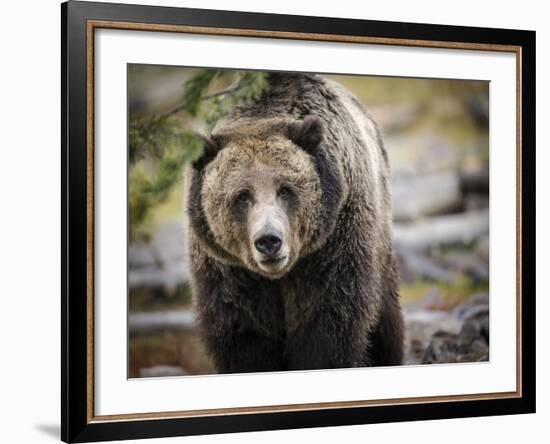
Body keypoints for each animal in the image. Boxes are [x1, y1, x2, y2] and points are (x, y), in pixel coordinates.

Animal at [185, 73, 406, 374]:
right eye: (241, 196)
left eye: (286, 189)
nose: (268, 240)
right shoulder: (228, 272)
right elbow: (244, 337)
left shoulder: (332, 247)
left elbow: (327, 327)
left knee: (386, 321)